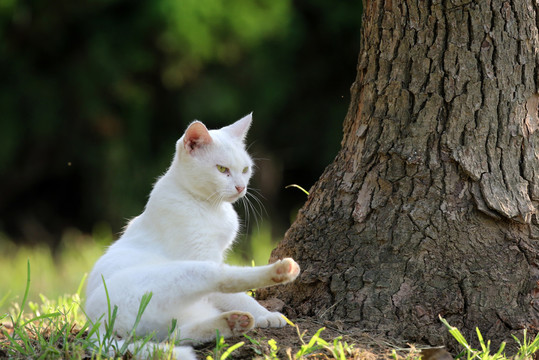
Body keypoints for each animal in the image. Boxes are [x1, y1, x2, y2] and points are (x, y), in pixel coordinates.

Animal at [86, 114, 302, 360]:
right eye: (222, 169)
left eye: (246, 169)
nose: (241, 187)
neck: (210, 206)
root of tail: (96, 327)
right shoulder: (202, 254)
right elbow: (237, 296)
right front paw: (266, 315)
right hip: (187, 272)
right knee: (223, 279)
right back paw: (282, 271)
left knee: (176, 336)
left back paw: (231, 322)